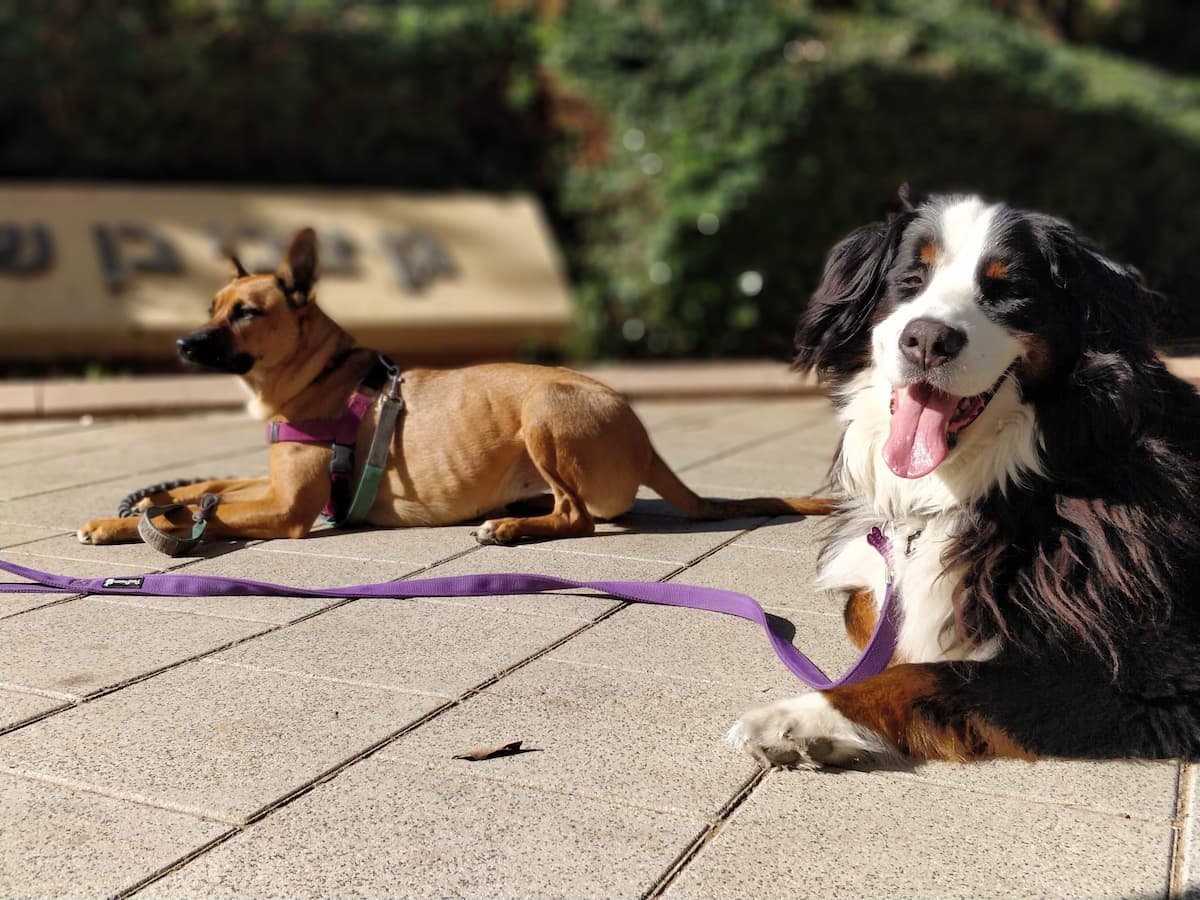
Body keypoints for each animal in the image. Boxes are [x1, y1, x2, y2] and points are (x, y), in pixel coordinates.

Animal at [75, 229, 825, 547]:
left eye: (245, 313)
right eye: (209, 305)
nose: (181, 344)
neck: (319, 370)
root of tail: (644, 438)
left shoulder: (289, 508)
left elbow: (212, 512)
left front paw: (126, 524)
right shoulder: (272, 481)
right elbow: (209, 488)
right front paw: (152, 502)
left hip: (545, 413)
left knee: (579, 516)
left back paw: (513, 530)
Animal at [720, 190, 1200, 768]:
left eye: (1008, 291)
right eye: (911, 279)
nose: (927, 339)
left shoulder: (1153, 673)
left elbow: (929, 675)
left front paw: (798, 718)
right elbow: (872, 612)